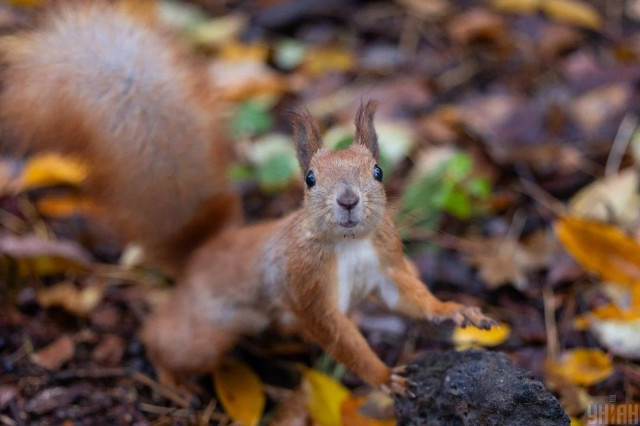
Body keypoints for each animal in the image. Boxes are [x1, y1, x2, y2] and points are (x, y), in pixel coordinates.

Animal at [0, 0, 496, 392]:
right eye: (310, 179)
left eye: (377, 171)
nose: (348, 201)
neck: (350, 245)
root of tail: (203, 251)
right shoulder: (305, 286)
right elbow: (339, 337)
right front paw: (382, 375)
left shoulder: (385, 260)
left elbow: (407, 298)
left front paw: (456, 311)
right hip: (201, 335)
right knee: (162, 338)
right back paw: (170, 380)